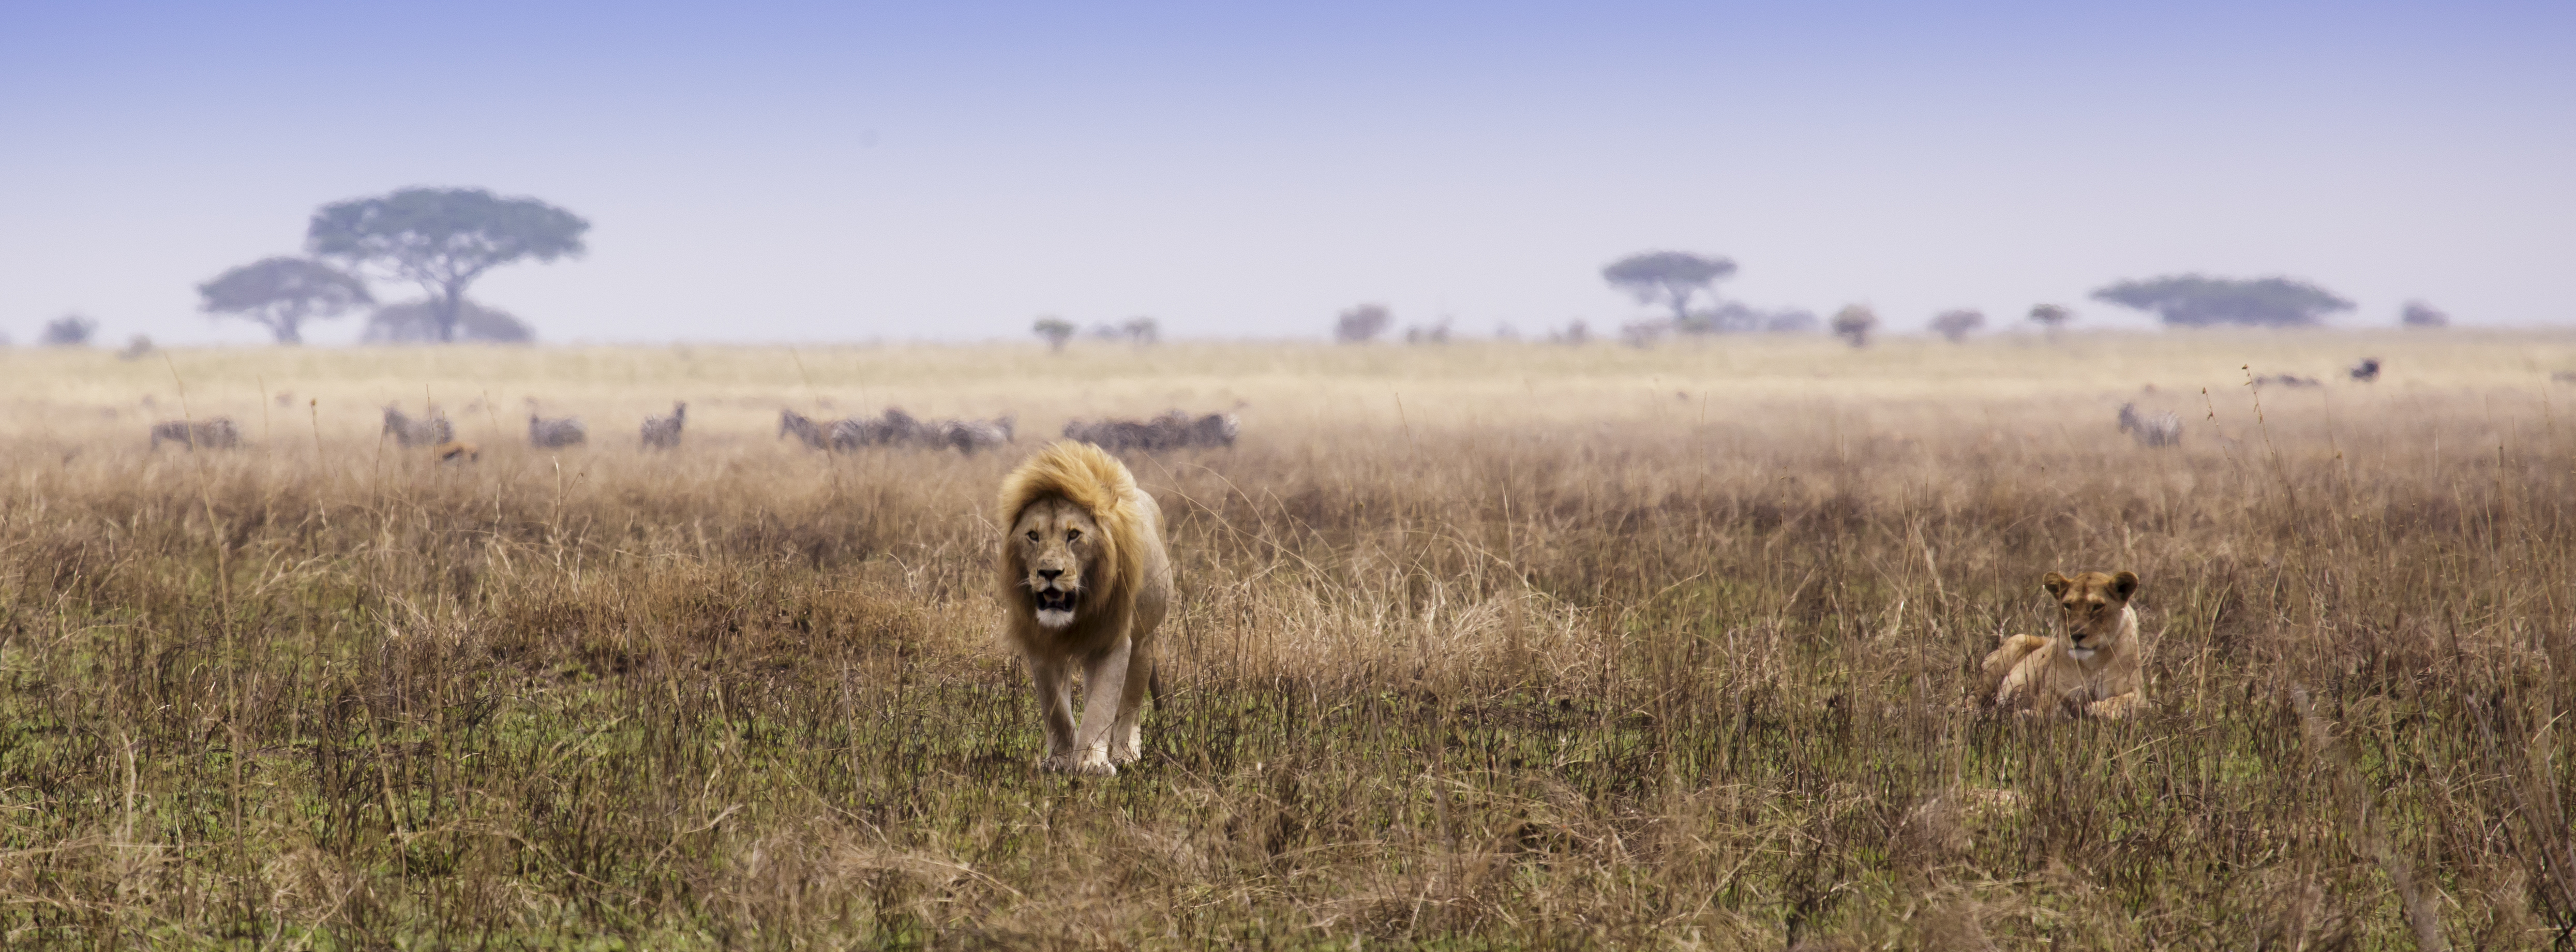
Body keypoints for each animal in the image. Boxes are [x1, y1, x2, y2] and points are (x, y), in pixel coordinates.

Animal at [994, 438, 1179, 774]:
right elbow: (1056, 710)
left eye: (1074, 535)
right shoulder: (1042, 644)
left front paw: (1093, 764)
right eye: (1033, 535)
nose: (1049, 573)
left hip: (1144, 642)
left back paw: (1125, 754)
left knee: (1130, 705)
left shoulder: (1113, 641)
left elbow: (1102, 705)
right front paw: (1059, 761)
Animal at [1978, 568, 2143, 717]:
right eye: (2068, 606)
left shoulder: (2137, 692)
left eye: (2097, 607)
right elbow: (2047, 710)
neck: (2092, 664)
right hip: (2011, 651)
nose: (2076, 635)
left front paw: (2099, 709)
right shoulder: (2053, 692)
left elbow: (2124, 701)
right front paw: (2026, 714)